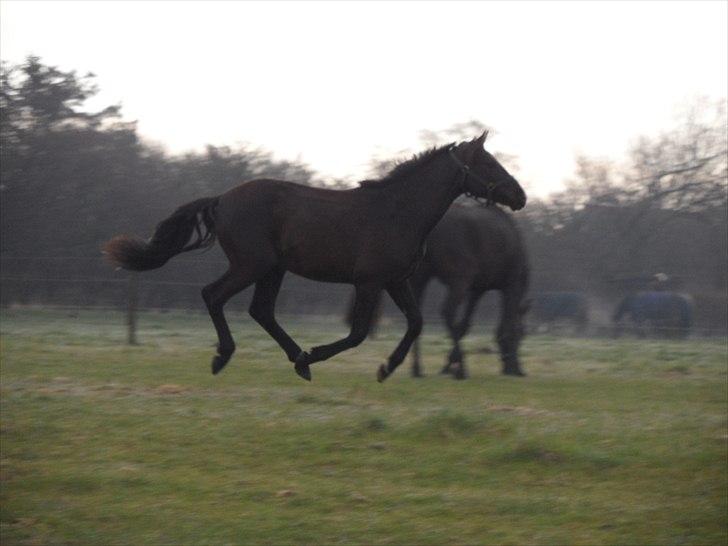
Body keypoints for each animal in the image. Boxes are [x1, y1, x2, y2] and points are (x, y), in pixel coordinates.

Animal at [104, 132, 524, 380]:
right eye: (488, 163)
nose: (520, 196)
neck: (398, 211)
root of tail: (221, 199)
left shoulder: (395, 280)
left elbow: (417, 323)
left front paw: (387, 367)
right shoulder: (369, 282)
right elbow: (356, 334)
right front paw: (322, 356)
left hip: (273, 269)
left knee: (261, 311)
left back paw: (296, 361)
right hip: (252, 265)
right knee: (214, 295)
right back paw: (227, 356)